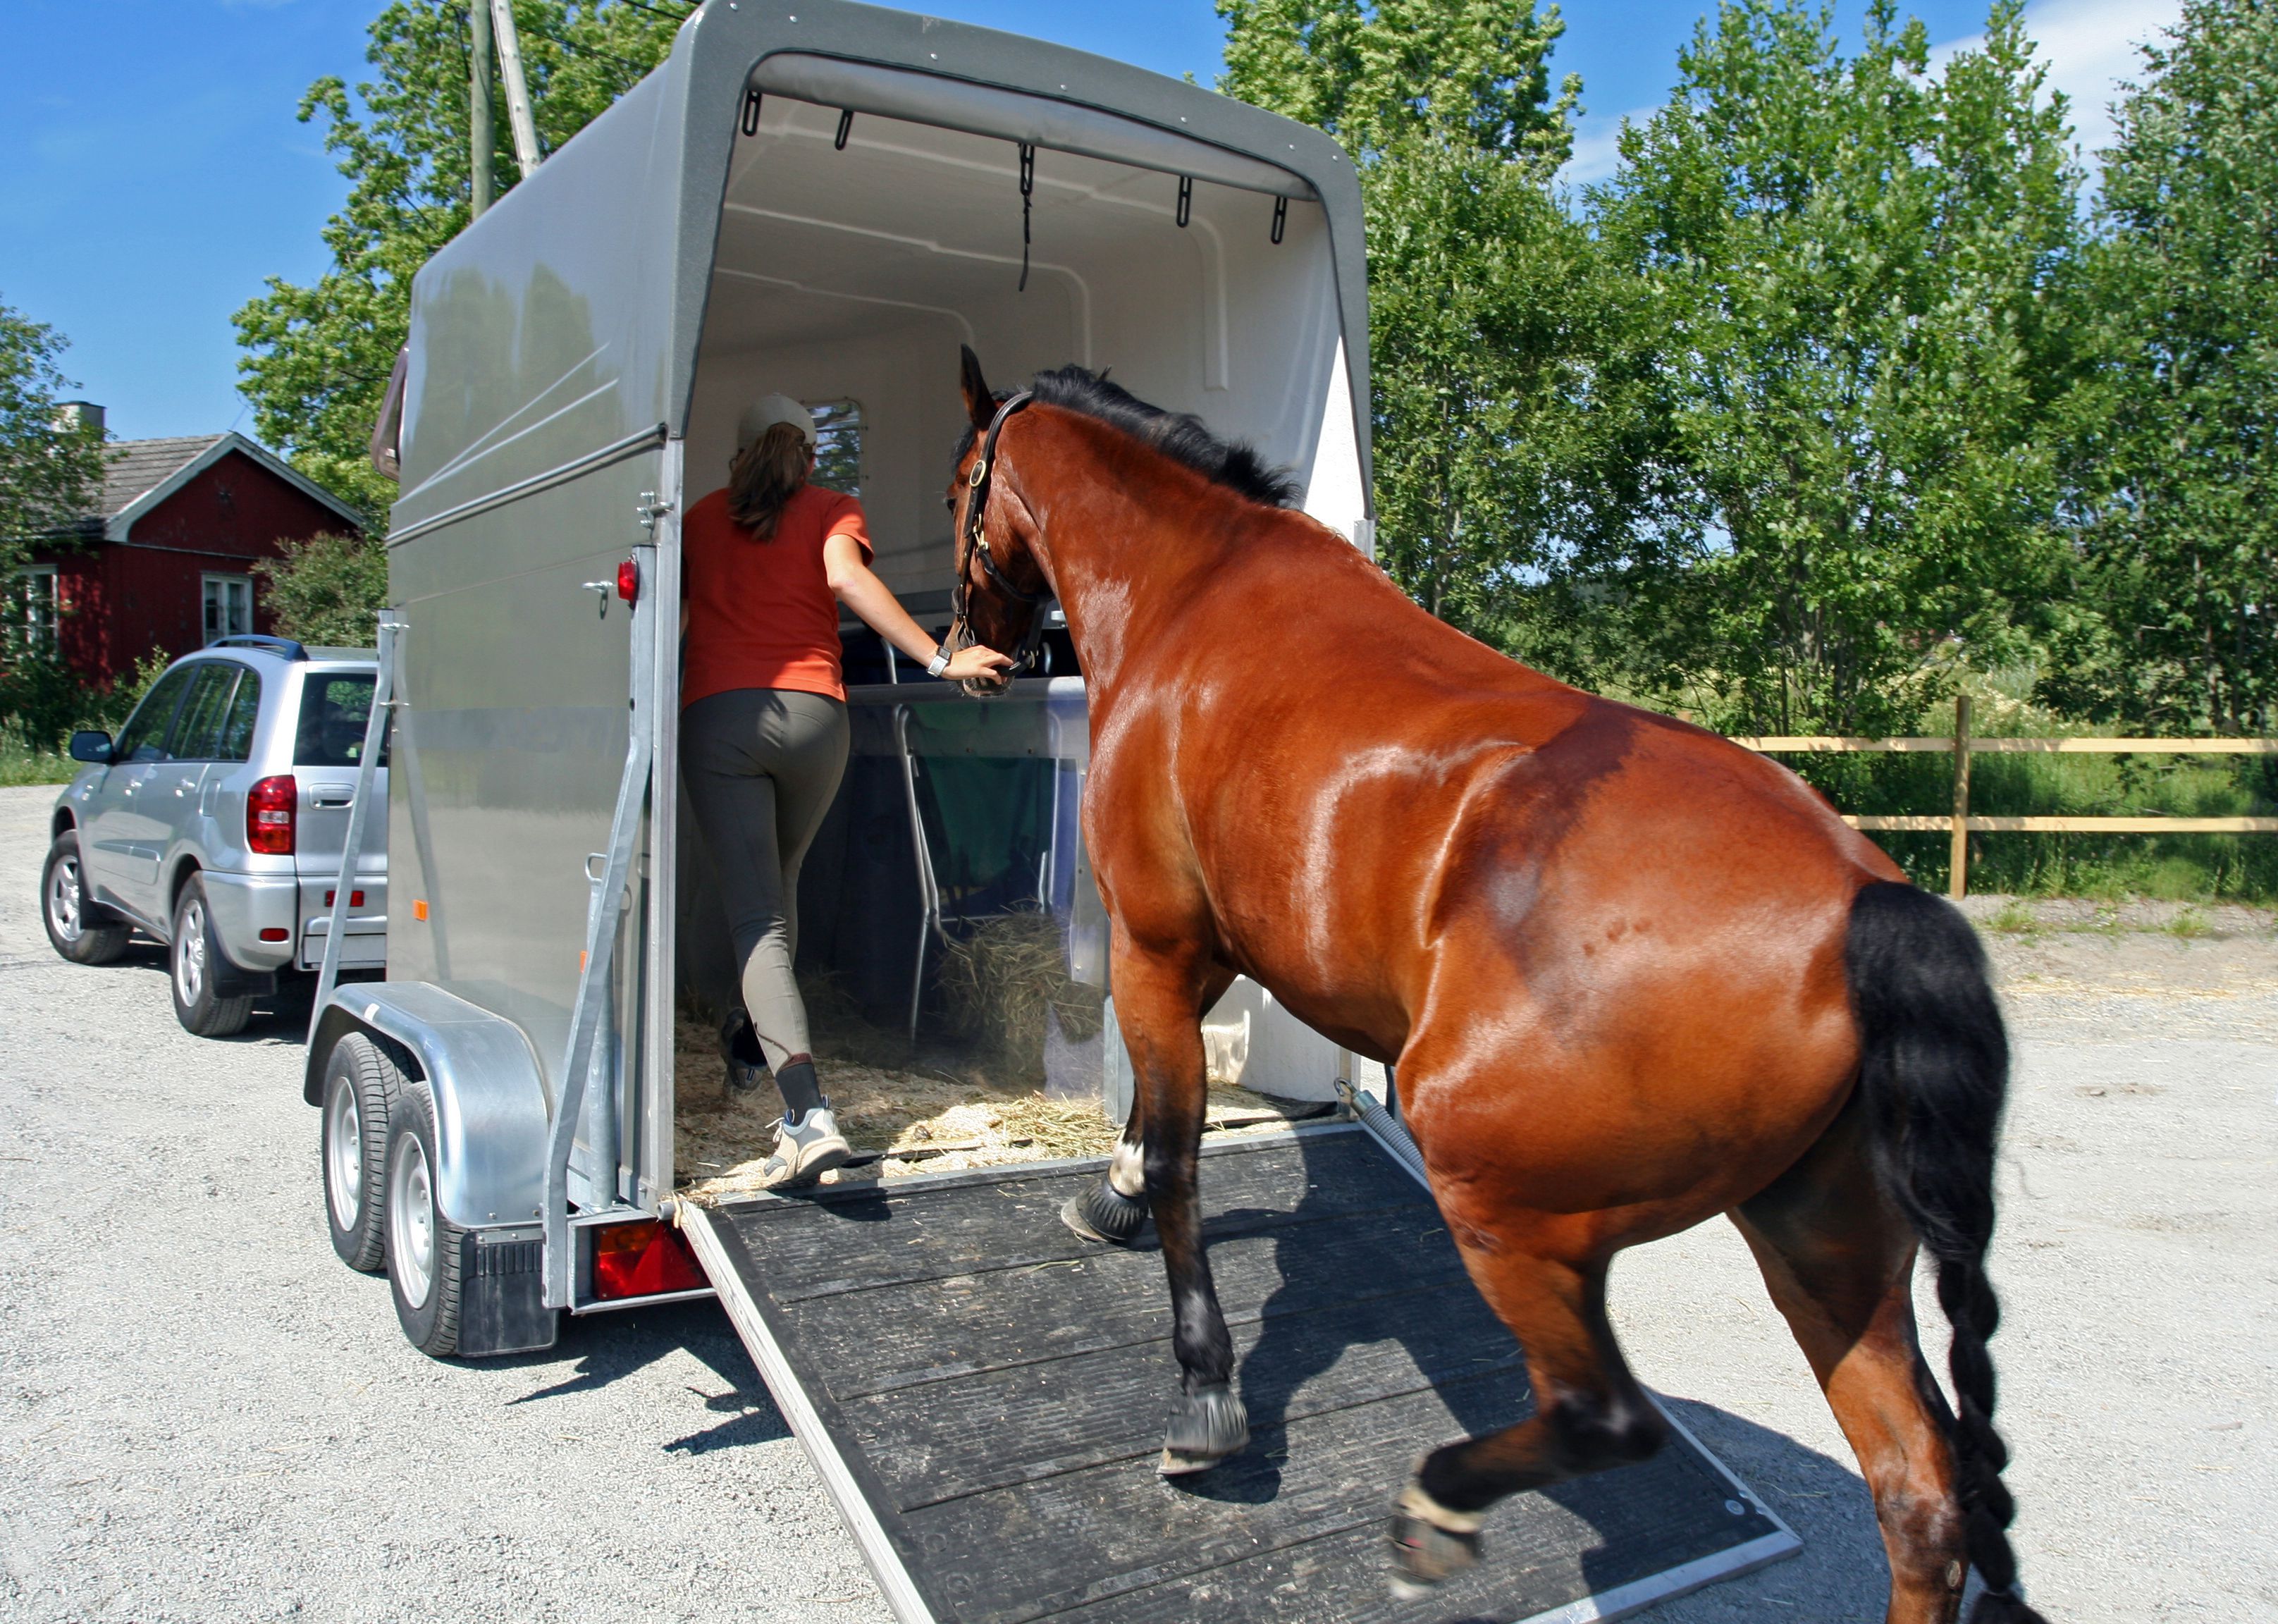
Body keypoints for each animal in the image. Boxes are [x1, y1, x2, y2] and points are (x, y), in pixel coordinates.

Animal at [943, 346, 2050, 1621]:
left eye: (959, 484)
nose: (968, 649)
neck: (1197, 593)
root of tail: (1872, 902)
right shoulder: (1207, 949)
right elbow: (1151, 1137)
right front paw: (1109, 1197)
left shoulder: (1156, 944)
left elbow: (1177, 1155)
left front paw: (1205, 1393)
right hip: (1827, 1254)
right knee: (1922, 1496)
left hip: (1508, 1206)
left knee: (1606, 1418)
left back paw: (1437, 1504)